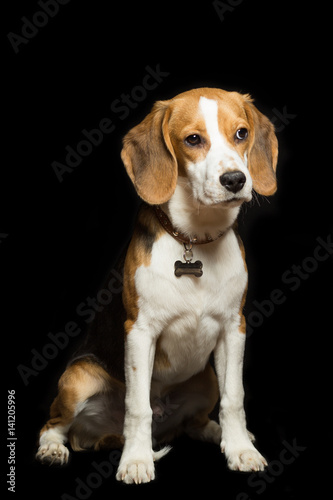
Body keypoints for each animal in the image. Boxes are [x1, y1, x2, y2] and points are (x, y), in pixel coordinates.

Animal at [35, 88, 278, 482]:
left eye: (241, 133)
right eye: (192, 140)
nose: (235, 180)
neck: (194, 240)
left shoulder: (234, 328)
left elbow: (234, 398)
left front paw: (241, 448)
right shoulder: (139, 332)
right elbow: (138, 406)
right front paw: (136, 461)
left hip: (206, 379)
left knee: (194, 422)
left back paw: (216, 432)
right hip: (76, 380)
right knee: (54, 424)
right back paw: (54, 449)